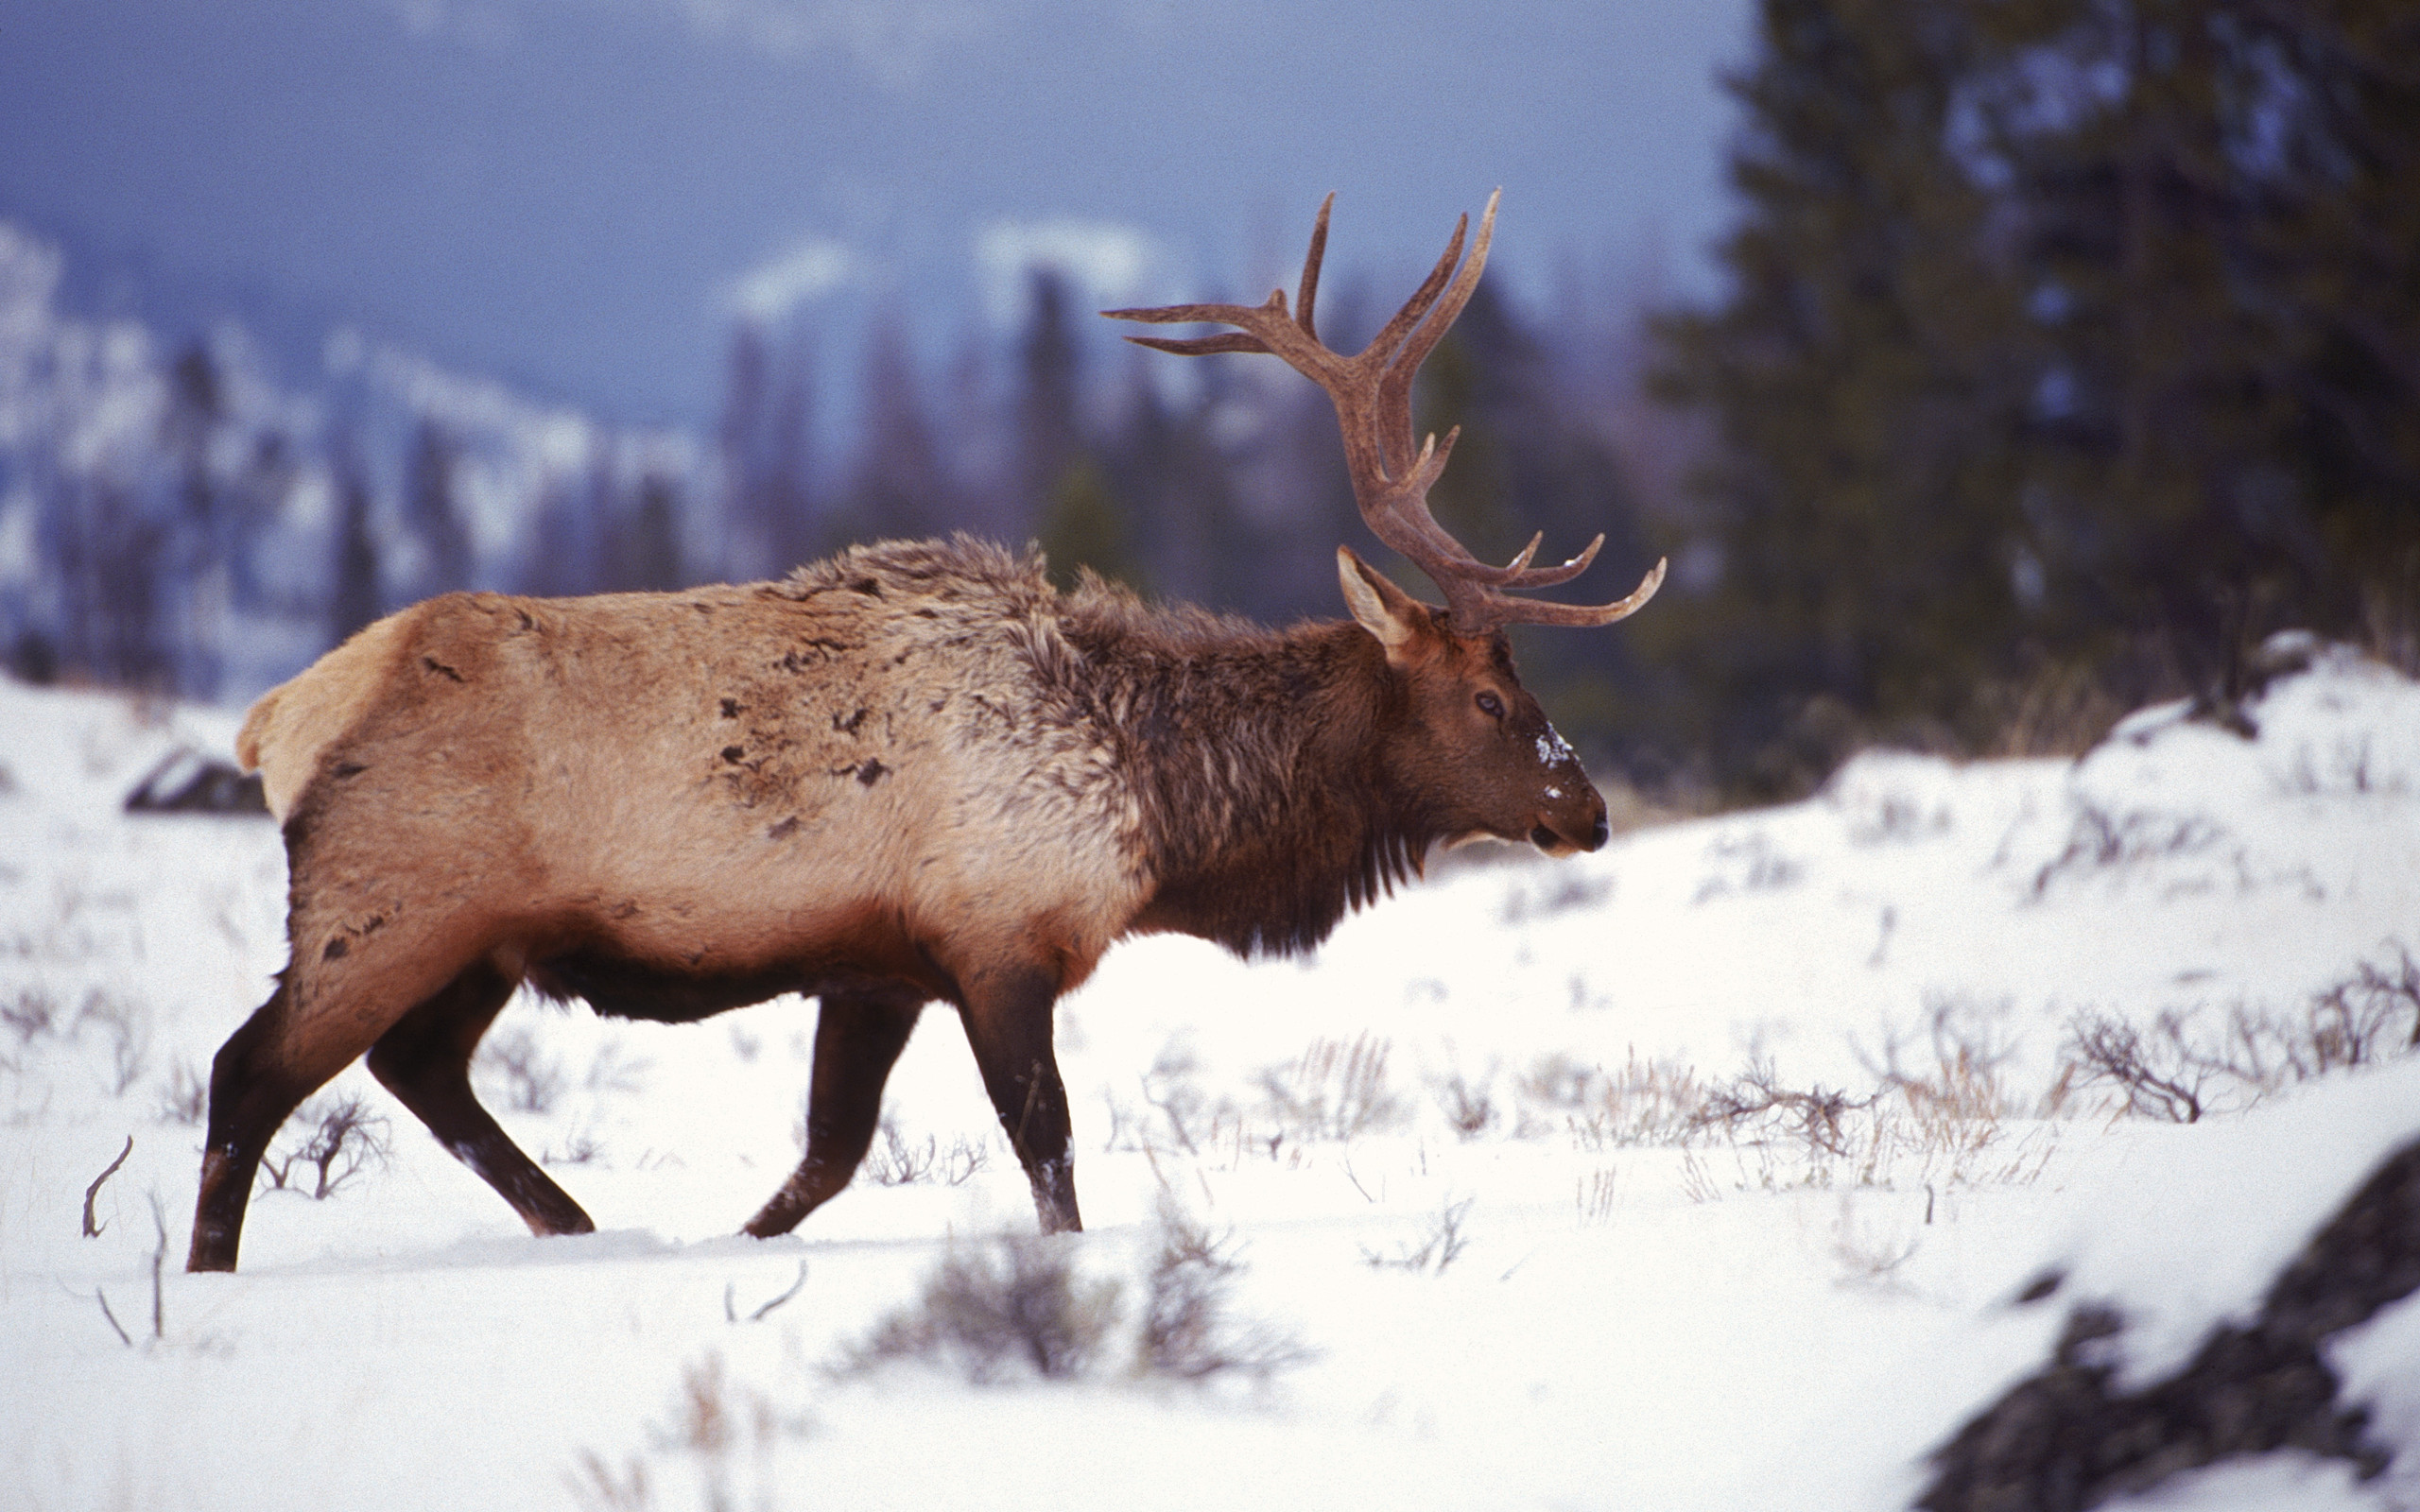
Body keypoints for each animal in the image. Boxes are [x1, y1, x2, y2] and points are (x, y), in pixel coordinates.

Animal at [187, 192, 1663, 1272]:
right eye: (1490, 698)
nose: (1586, 808)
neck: (1161, 813)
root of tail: (279, 718)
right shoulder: (997, 937)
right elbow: (1047, 1148)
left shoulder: (877, 965)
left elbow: (828, 1156)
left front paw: (734, 1248)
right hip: (384, 904)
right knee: (248, 1072)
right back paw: (210, 1282)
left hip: (479, 938)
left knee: (416, 1067)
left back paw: (577, 1227)